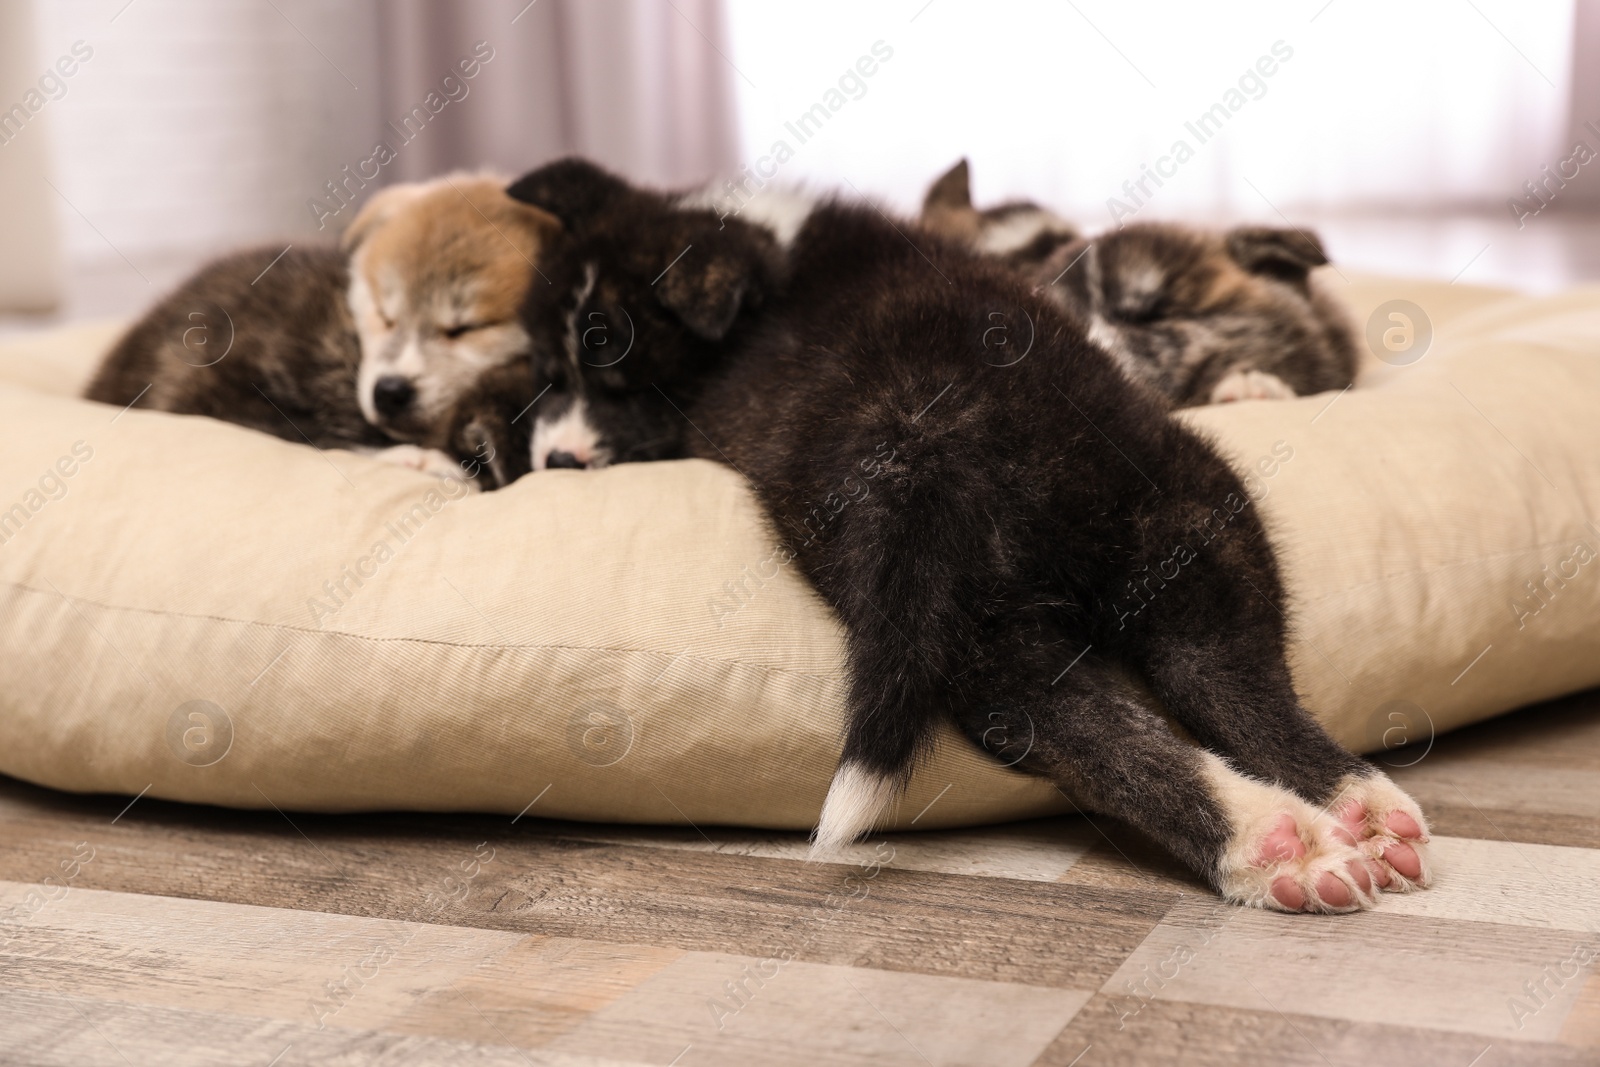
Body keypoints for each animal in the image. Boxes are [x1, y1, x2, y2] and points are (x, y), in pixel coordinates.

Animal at [84, 173, 553, 489]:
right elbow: (309, 433)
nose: (388, 391)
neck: (350, 350)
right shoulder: (210, 391)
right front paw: (418, 459)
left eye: (466, 329)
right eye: (384, 316)